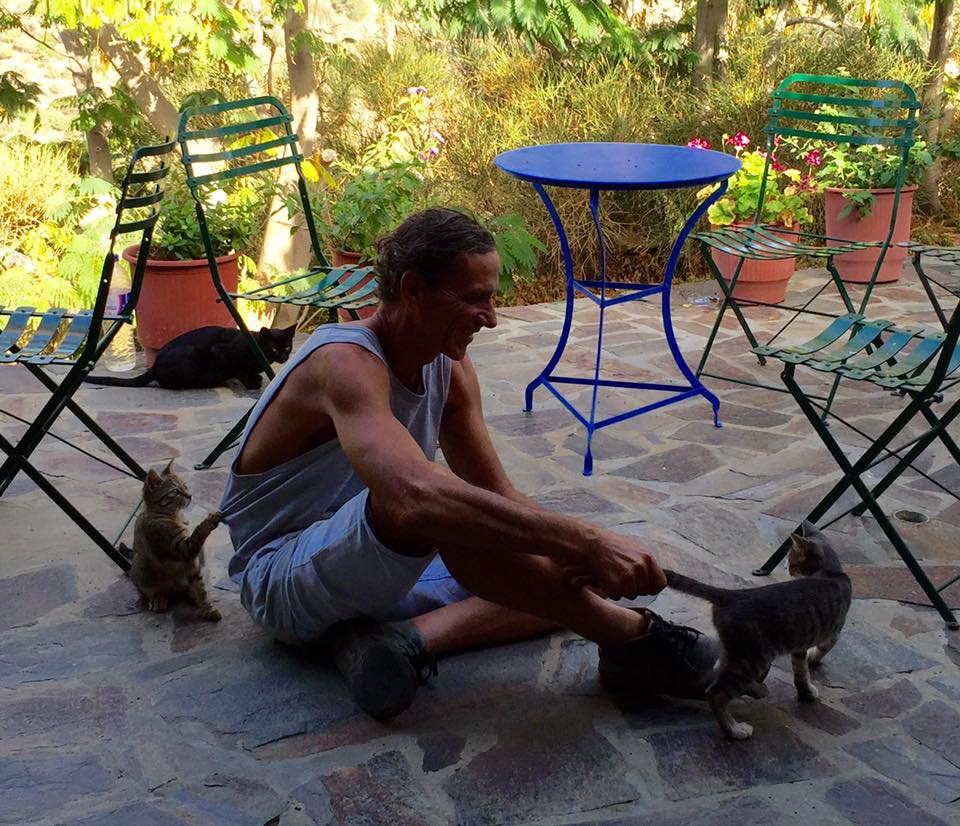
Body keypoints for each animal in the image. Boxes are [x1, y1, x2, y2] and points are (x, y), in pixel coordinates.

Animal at [85, 324, 296, 390]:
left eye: (287, 347)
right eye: (274, 349)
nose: (283, 357)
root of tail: (154, 366)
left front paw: (255, 378)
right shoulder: (221, 351)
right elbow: (239, 370)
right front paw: (252, 383)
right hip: (190, 352)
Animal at [120, 460, 223, 621]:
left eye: (185, 485)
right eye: (175, 492)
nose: (190, 496)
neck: (175, 516)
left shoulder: (194, 564)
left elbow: (200, 588)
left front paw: (207, 608)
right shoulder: (183, 548)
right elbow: (199, 531)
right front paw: (210, 519)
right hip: (142, 569)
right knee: (150, 591)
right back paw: (158, 599)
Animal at [664, 521, 851, 740]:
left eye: (792, 562)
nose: (788, 569)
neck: (831, 572)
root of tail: (732, 595)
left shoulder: (799, 644)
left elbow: (800, 670)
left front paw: (805, 691)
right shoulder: (834, 631)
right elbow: (820, 651)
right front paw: (813, 661)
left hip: (738, 654)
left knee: (716, 671)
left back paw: (757, 690)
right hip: (752, 658)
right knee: (714, 692)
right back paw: (735, 730)